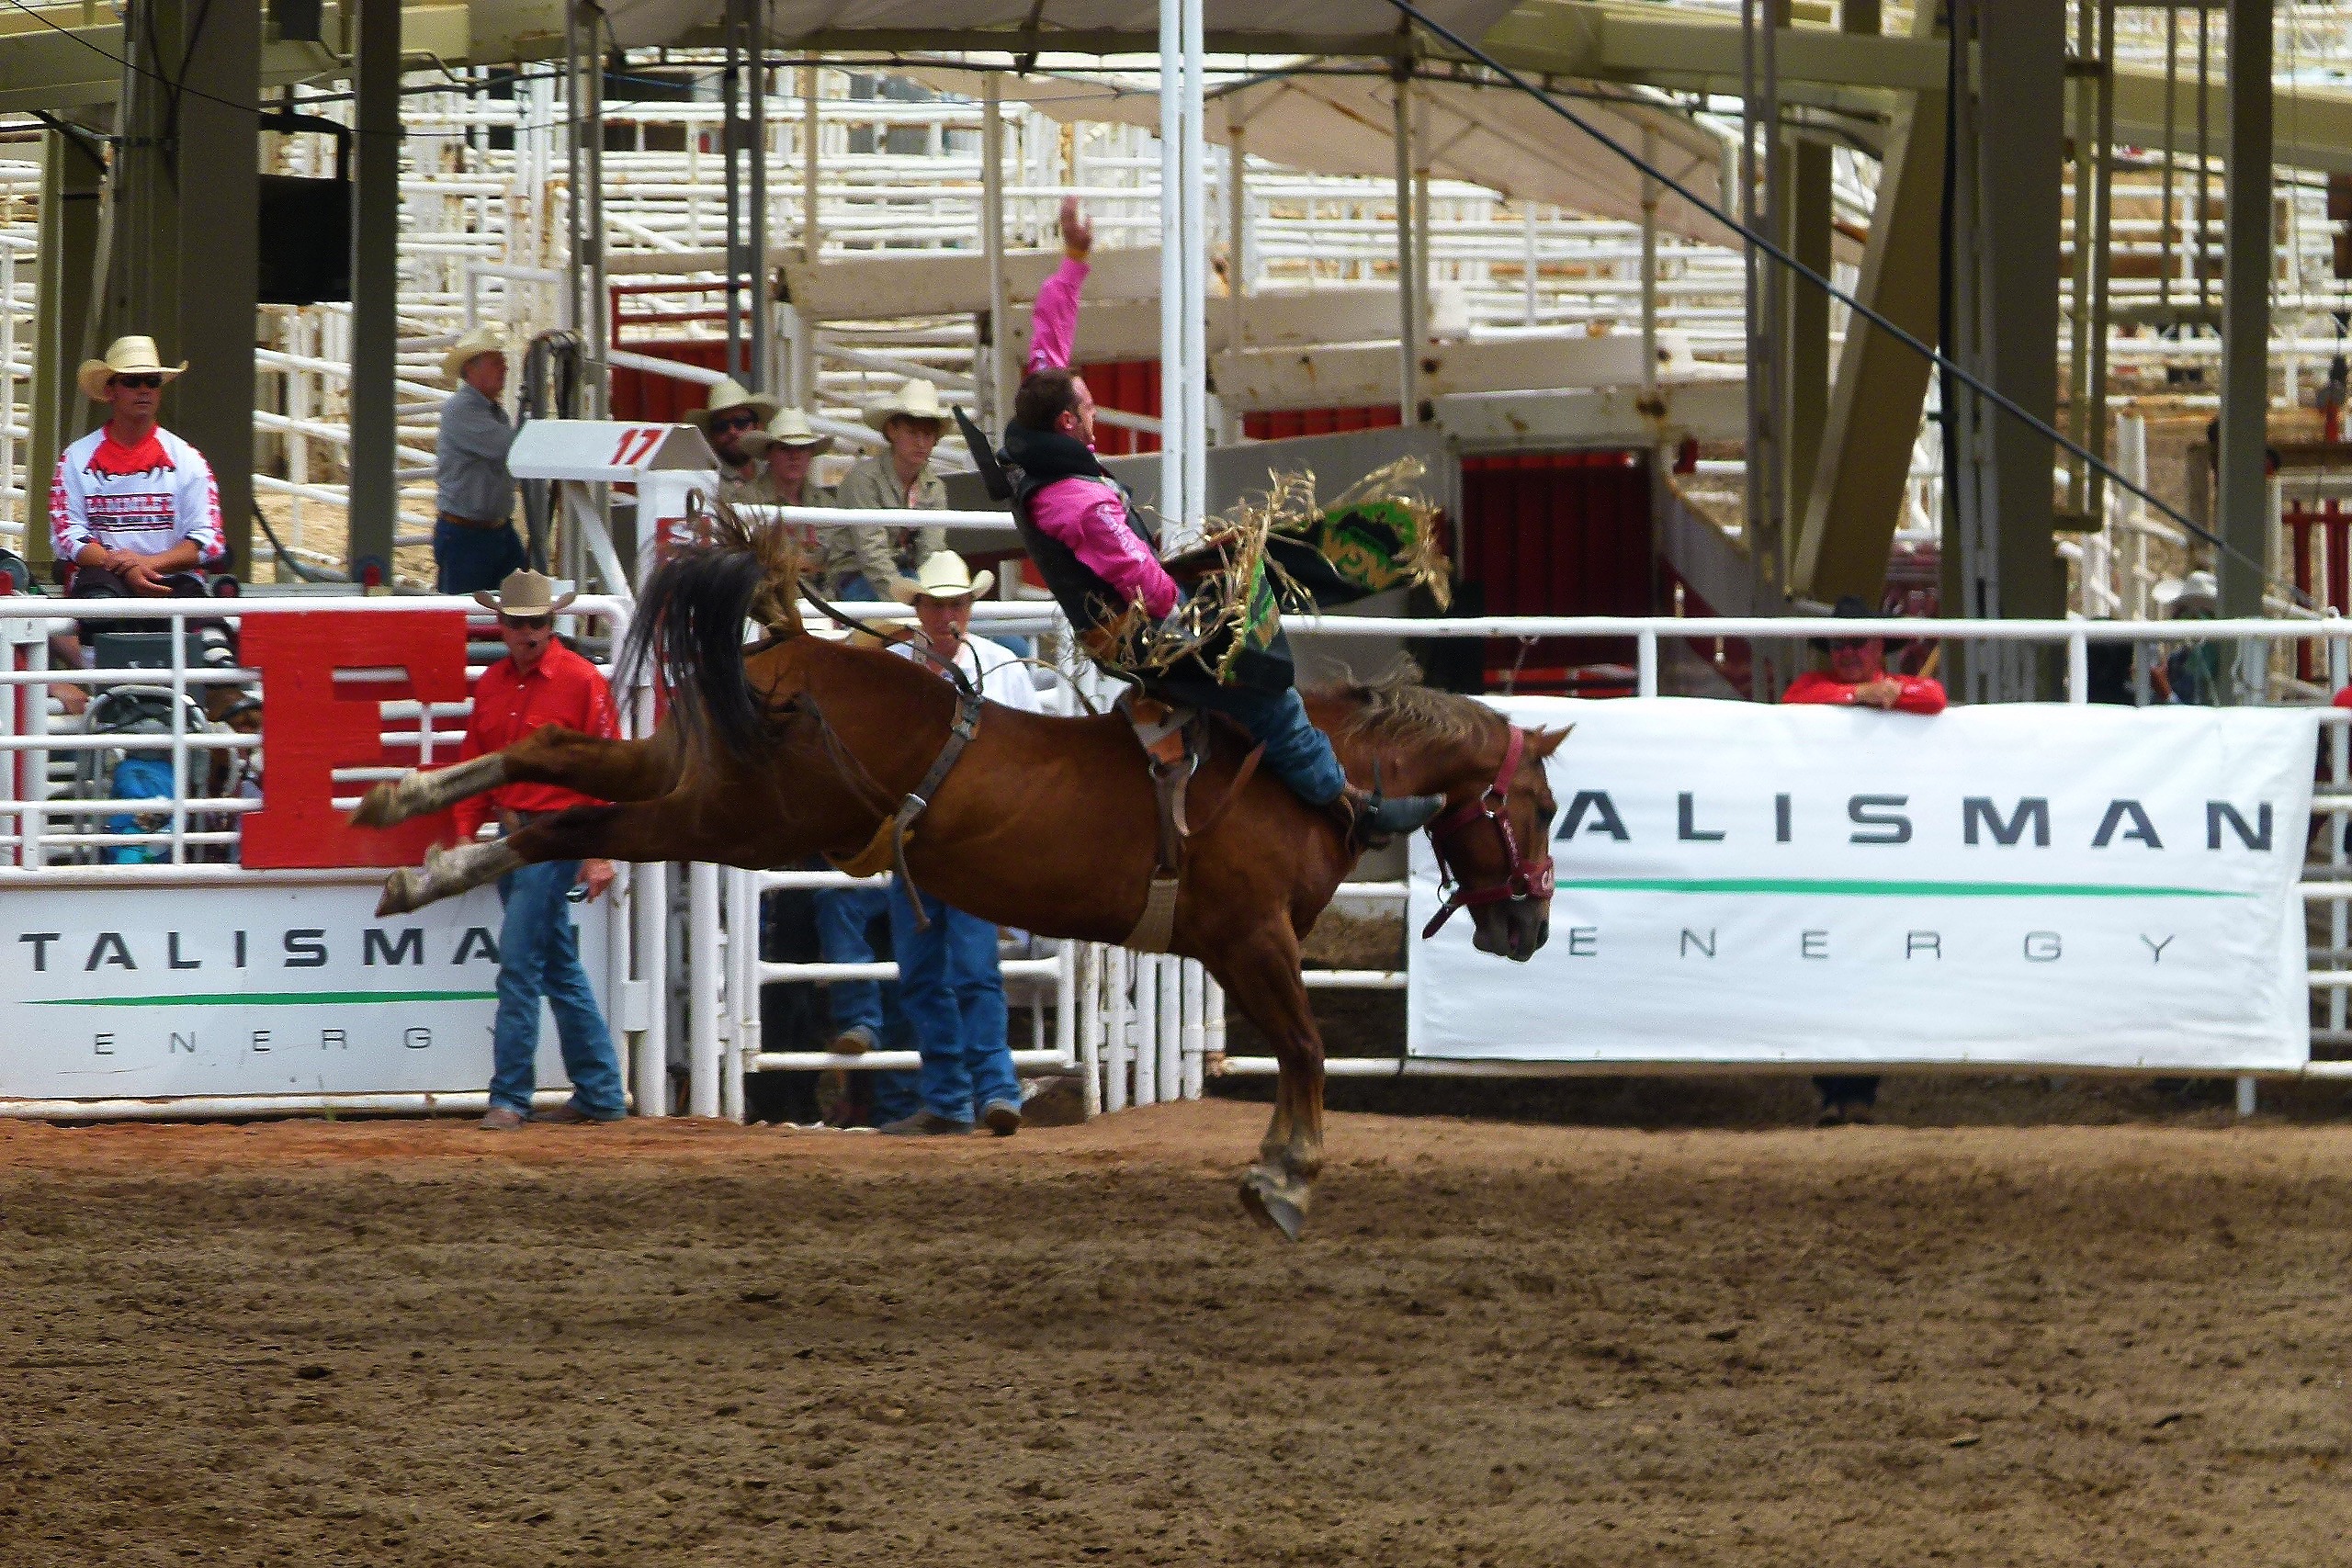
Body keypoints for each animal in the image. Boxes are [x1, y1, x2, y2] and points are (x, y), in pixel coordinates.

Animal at [353, 514, 1561, 1241]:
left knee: (559, 761)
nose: (1531, 929)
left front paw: (1277, 1172)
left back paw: (415, 831)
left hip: (691, 773)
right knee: (574, 816)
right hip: (735, 816)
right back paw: (424, 841)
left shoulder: (1236, 949)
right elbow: (1305, 1048)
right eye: (1542, 807)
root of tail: (788, 649)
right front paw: (1285, 1178)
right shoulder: (1250, 937)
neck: (1310, 771)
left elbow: (1299, 1049)